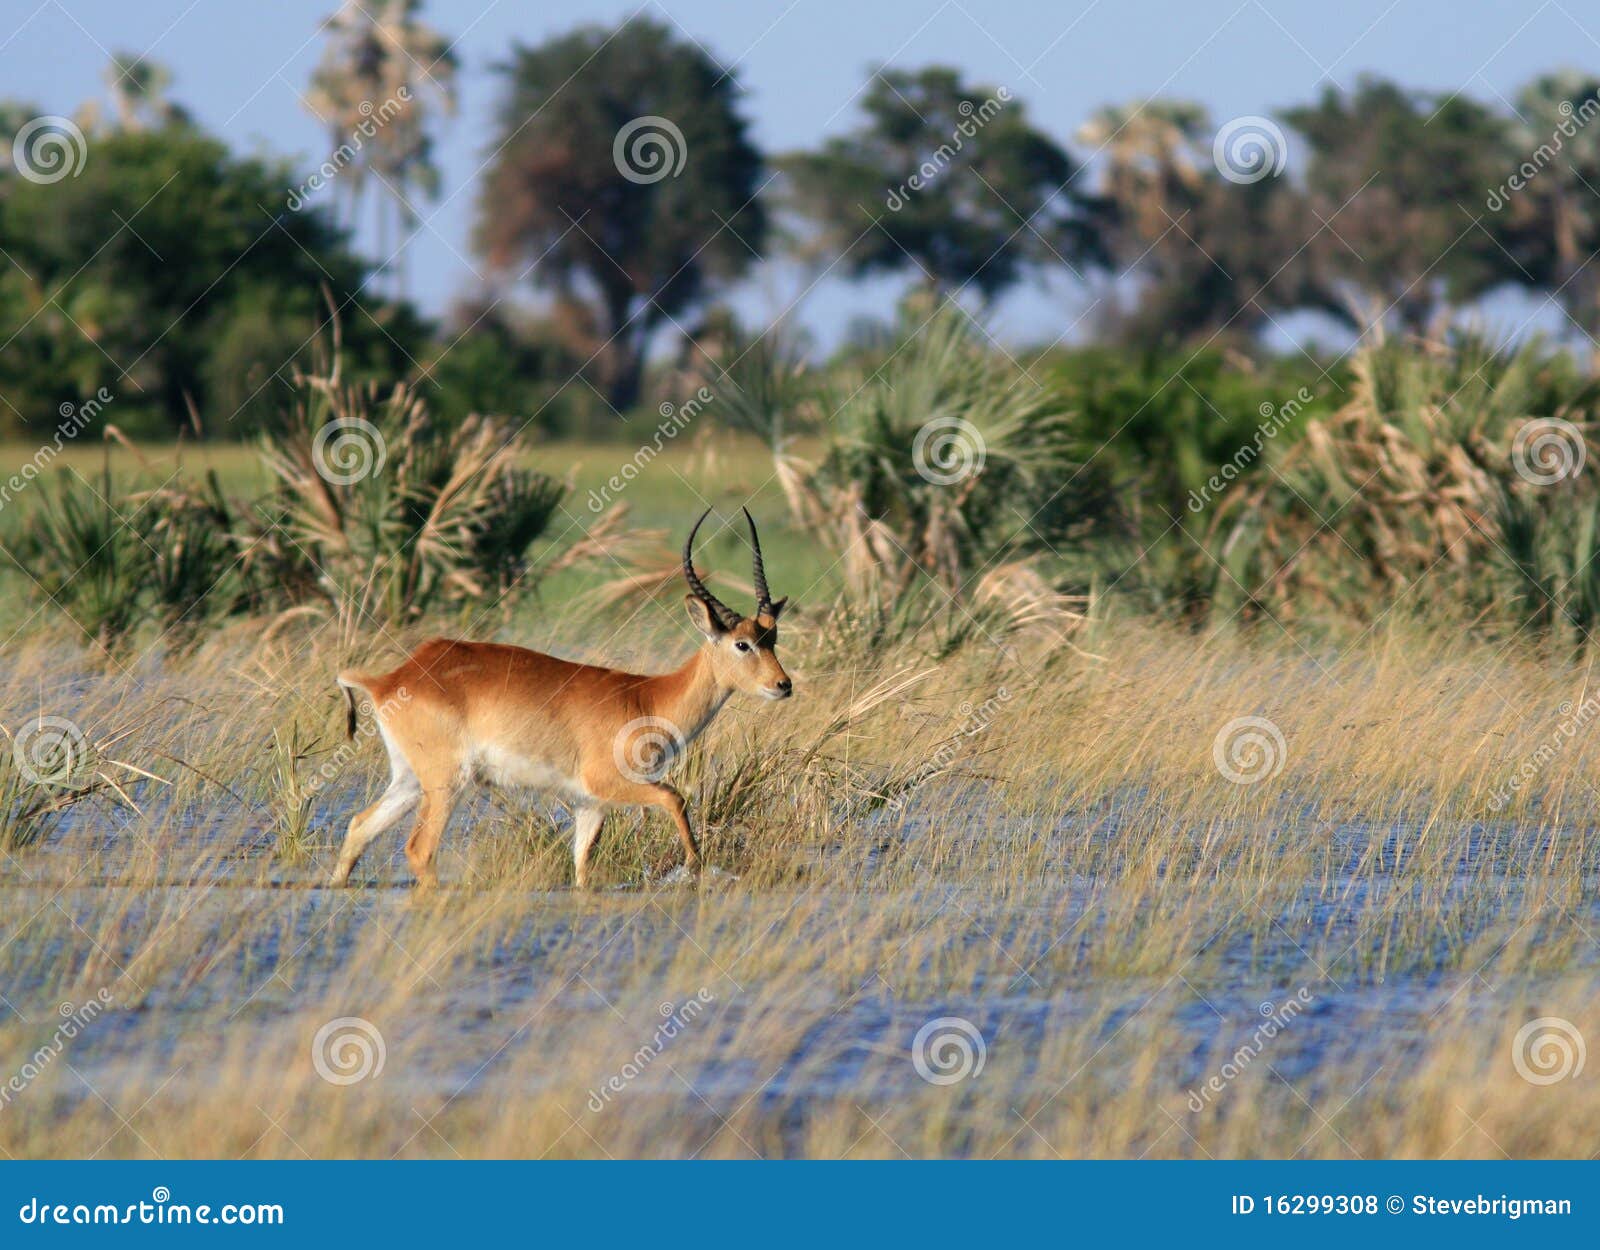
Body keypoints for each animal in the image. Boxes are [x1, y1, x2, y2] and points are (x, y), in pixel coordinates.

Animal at [328, 505, 790, 889]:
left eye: (772, 637)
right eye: (743, 644)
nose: (783, 684)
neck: (647, 699)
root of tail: (392, 679)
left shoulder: (591, 805)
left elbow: (582, 869)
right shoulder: (609, 783)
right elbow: (675, 797)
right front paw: (696, 866)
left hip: (409, 779)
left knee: (358, 828)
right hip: (446, 783)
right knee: (419, 850)